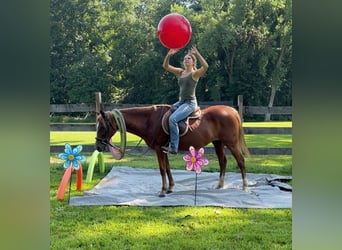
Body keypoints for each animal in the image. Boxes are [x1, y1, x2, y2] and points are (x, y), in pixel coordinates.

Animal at [95, 104, 250, 196]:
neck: (150, 120)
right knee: (223, 162)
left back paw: (245, 186)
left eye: (102, 127)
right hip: (218, 143)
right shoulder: (164, 150)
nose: (98, 146)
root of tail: (231, 110)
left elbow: (162, 169)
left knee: (241, 161)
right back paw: (220, 185)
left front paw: (163, 190)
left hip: (231, 144)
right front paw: (170, 187)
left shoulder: (158, 149)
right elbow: (168, 168)